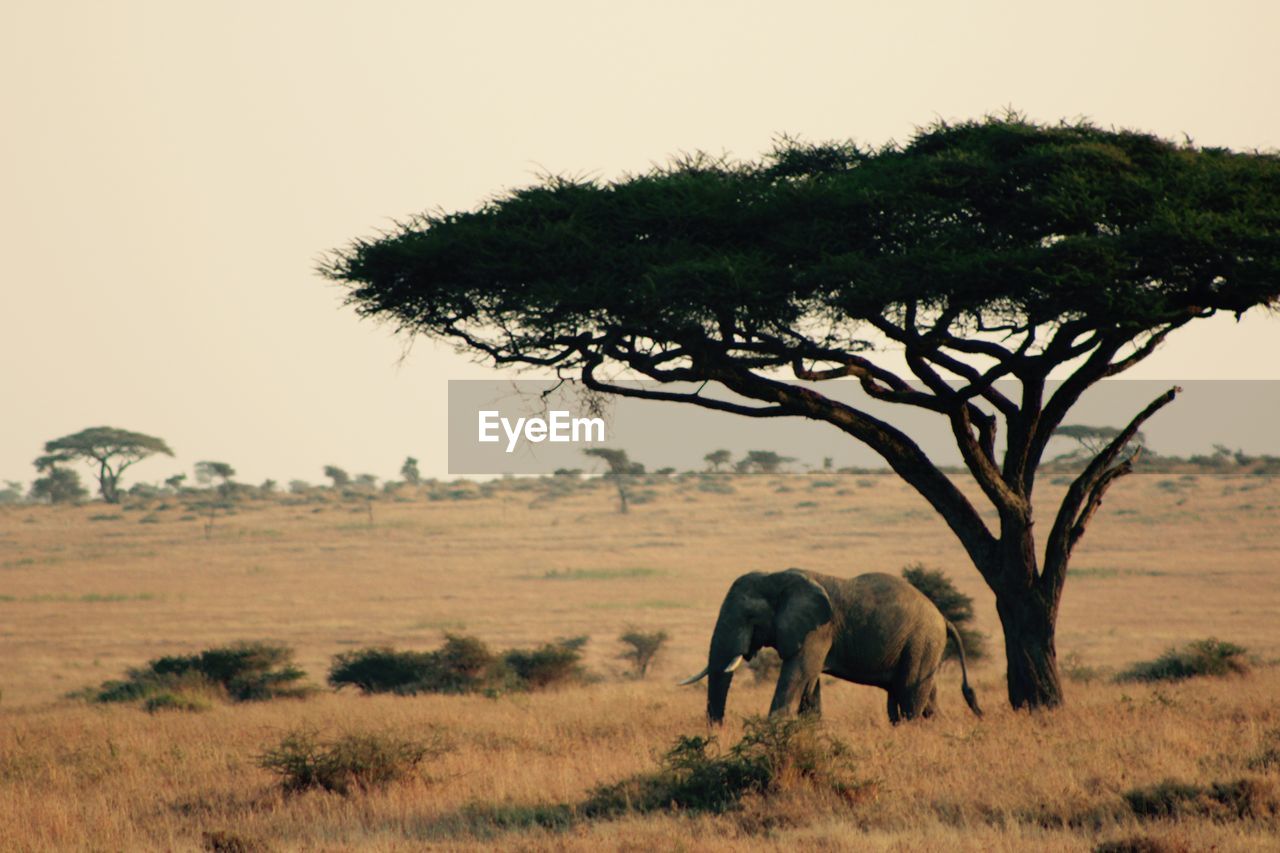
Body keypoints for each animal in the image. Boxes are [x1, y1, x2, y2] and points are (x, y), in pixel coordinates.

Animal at [680, 568, 977, 722]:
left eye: (749, 617)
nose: (719, 730)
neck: (775, 576)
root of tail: (944, 618)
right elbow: (810, 686)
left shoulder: (817, 631)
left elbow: (797, 676)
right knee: (922, 698)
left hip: (922, 641)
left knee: (908, 696)